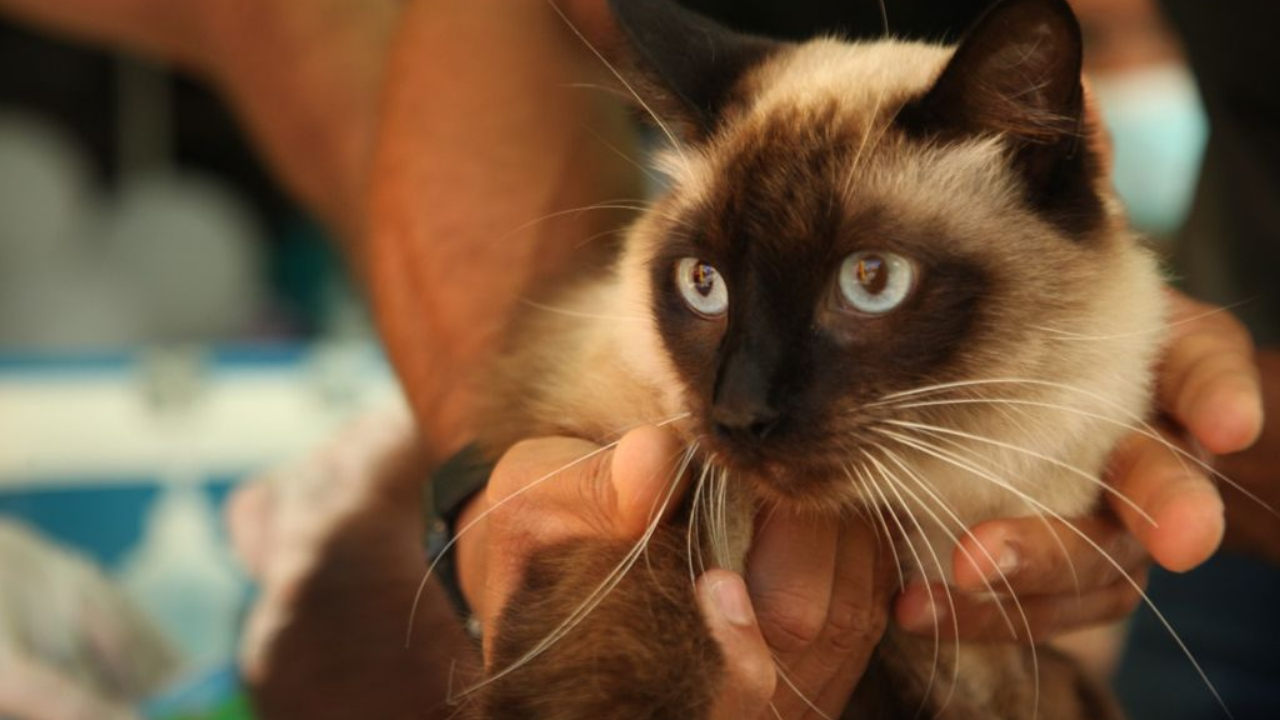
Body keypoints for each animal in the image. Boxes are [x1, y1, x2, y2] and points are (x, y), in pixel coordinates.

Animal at [473, 0, 1172, 712]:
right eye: (704, 284)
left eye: (872, 280)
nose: (740, 413)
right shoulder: (628, 459)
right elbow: (636, 600)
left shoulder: (999, 668)